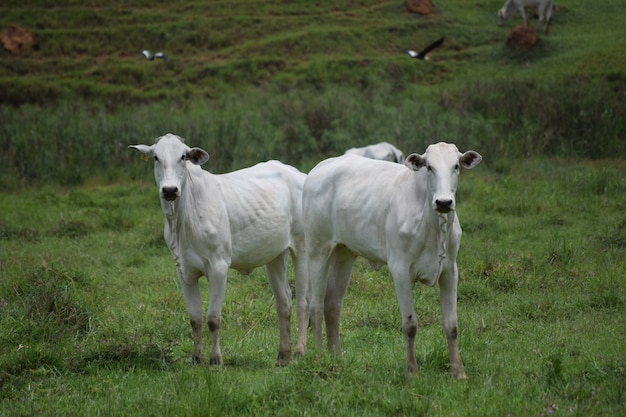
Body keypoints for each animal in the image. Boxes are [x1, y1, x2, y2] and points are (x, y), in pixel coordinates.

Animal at [129, 133, 308, 364]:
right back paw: (282, 356)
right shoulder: (183, 271)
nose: (169, 190)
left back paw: (299, 351)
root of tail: (298, 175)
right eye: (156, 157)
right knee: (284, 303)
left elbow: (213, 318)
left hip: (302, 249)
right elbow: (195, 318)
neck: (182, 221)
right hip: (275, 255)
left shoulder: (219, 266)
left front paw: (215, 359)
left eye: (183, 156)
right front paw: (197, 358)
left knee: (302, 302)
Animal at [300, 142, 480, 376]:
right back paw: (321, 357)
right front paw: (412, 371)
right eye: (429, 167)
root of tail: (320, 168)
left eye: (456, 166)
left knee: (332, 304)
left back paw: (337, 358)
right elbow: (410, 325)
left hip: (344, 253)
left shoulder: (450, 271)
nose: (443, 202)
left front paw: (459, 372)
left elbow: (452, 325)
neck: (433, 225)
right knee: (316, 305)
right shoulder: (400, 270)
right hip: (317, 250)